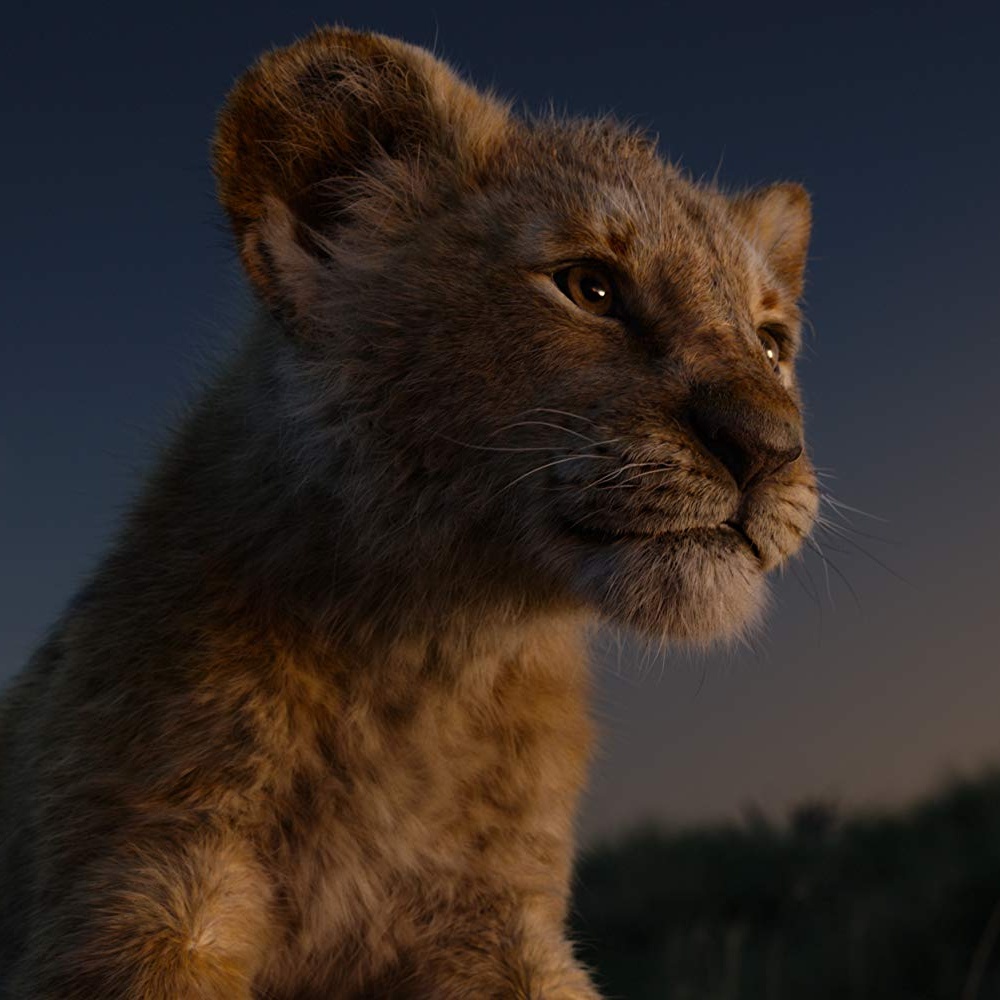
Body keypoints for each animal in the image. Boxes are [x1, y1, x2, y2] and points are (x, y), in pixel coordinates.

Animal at [0, 27, 817, 999]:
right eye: (591, 287)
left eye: (771, 343)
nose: (769, 446)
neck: (426, 661)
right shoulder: (140, 882)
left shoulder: (496, 919)